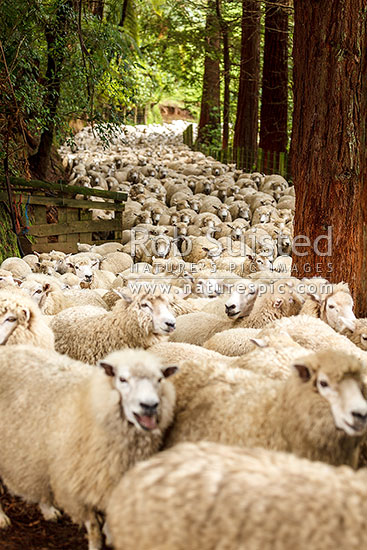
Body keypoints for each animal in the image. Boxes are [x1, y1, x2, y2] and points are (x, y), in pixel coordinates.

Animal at [0, 348, 178, 548]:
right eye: (122, 379)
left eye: (160, 379)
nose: (149, 405)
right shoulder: (77, 488)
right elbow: (93, 527)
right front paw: (95, 544)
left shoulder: (111, 484)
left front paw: (110, 538)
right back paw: (2, 518)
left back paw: (48, 510)